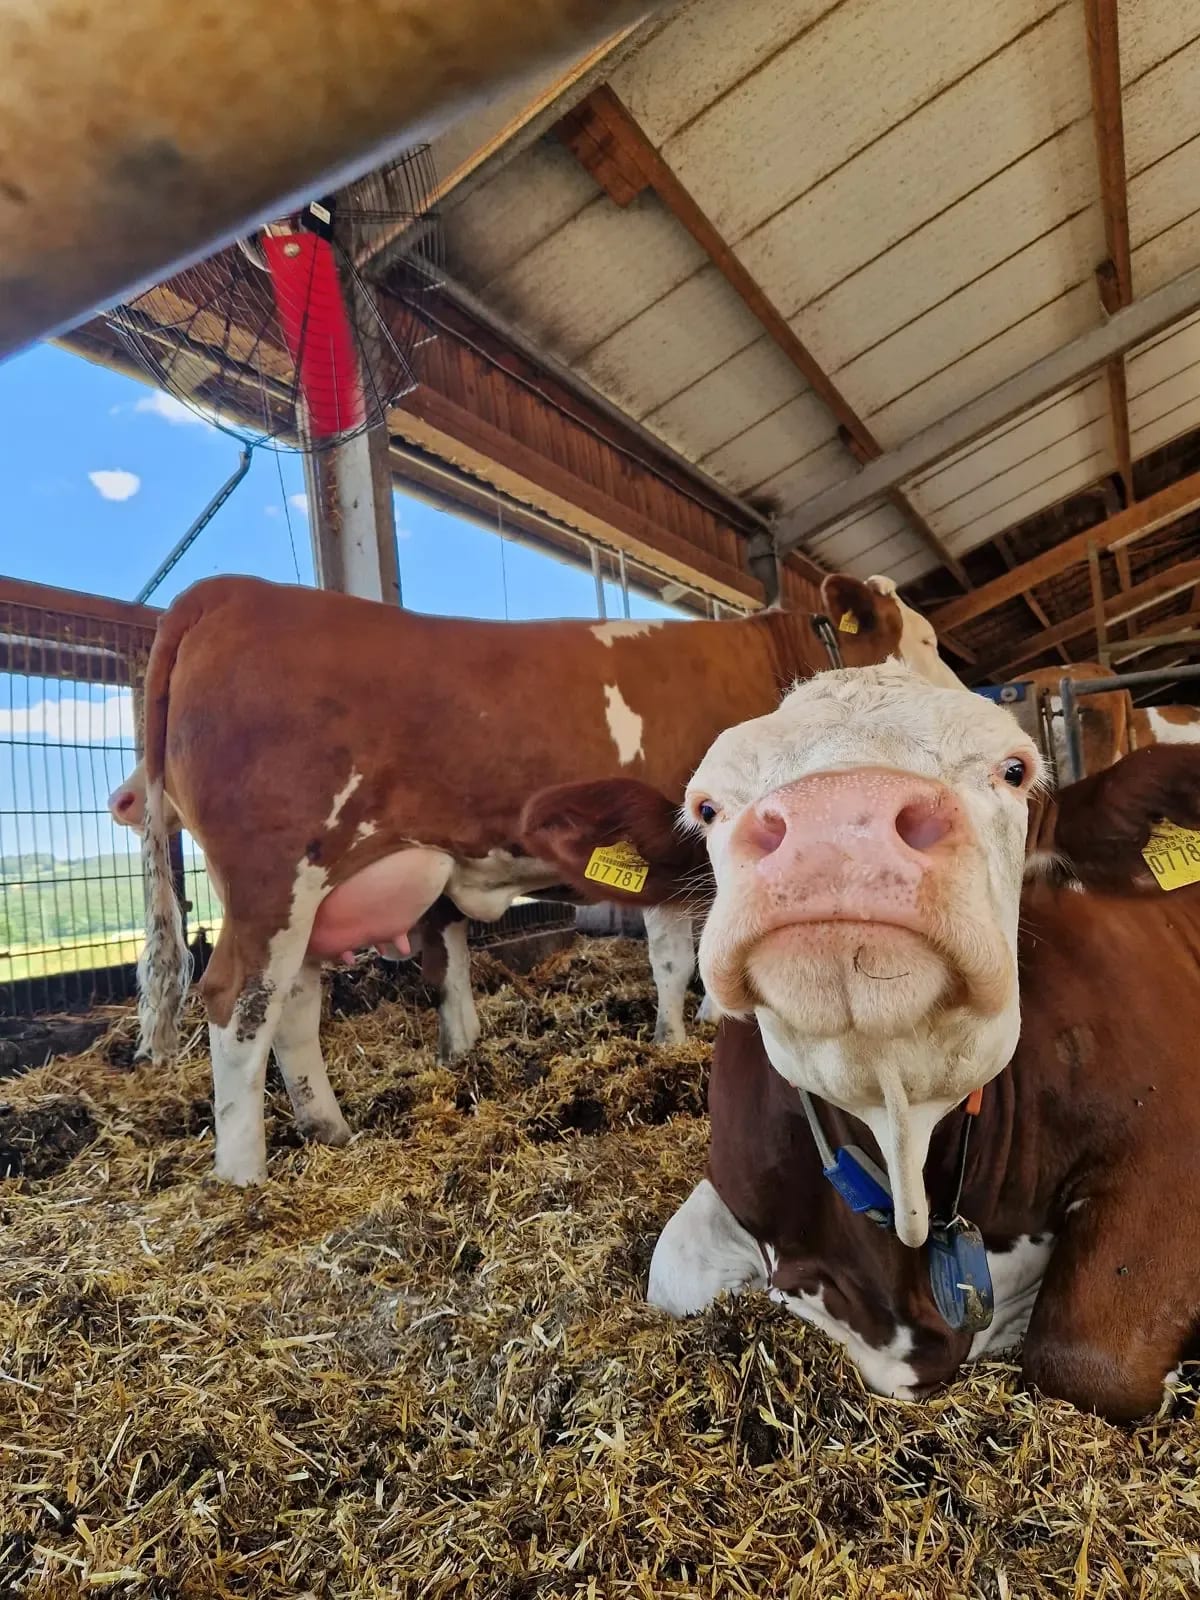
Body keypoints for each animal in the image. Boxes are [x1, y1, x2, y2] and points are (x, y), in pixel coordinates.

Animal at [130, 570, 961, 1186]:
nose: (969, 704)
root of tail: (226, 590)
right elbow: (681, 958)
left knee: (293, 1008)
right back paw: (244, 1179)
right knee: (236, 1002)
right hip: (273, 876)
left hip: (310, 895)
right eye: (924, 640)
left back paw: (329, 1128)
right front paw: (678, 1040)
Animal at [518, 670, 1200, 1420]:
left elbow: (1086, 1357)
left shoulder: (1171, 1144)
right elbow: (677, 1274)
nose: (837, 818)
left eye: (1015, 771)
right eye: (708, 807)